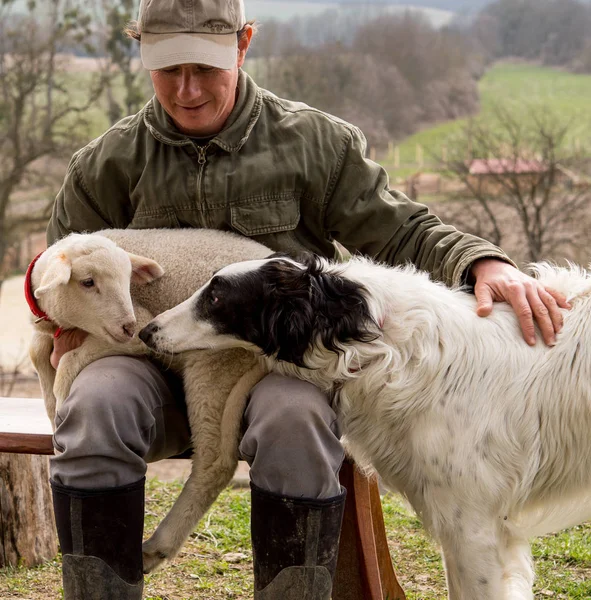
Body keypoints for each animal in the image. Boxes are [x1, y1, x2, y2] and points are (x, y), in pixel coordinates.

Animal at [28, 229, 274, 572]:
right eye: (87, 282)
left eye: (127, 279)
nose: (130, 326)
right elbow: (37, 351)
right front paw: (52, 411)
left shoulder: (138, 333)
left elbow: (68, 361)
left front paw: (61, 401)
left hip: (215, 364)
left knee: (215, 462)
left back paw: (158, 546)